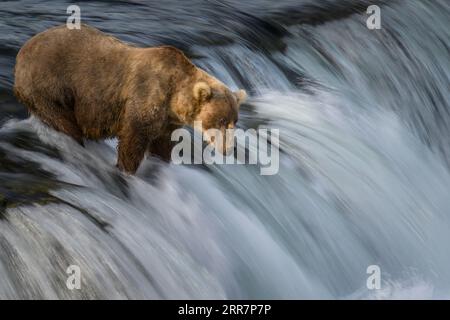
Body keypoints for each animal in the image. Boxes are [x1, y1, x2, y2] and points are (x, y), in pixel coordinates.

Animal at [14, 23, 246, 174]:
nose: (228, 149)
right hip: (49, 85)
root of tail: (22, 51)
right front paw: (125, 169)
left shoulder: (167, 122)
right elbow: (133, 139)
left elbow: (163, 145)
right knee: (64, 122)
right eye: (220, 120)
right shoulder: (145, 98)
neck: (174, 100)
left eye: (234, 121)